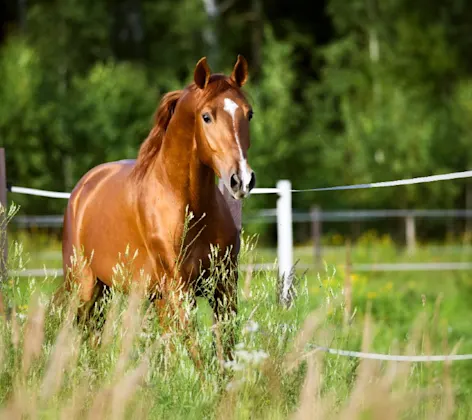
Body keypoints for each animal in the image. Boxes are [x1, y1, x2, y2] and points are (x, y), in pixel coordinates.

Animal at [55, 55, 256, 364]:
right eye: (206, 116)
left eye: (249, 114)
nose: (241, 180)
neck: (189, 206)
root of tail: (83, 188)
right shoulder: (179, 289)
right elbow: (197, 352)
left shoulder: (223, 288)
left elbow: (224, 351)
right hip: (85, 287)